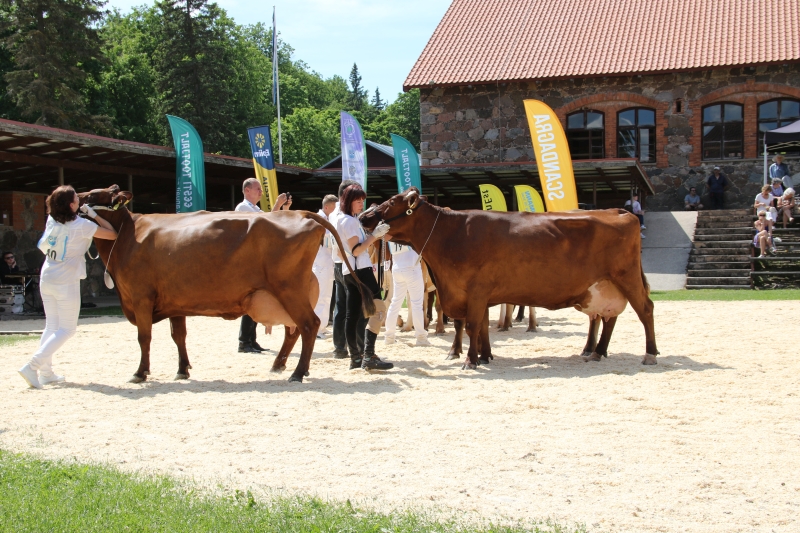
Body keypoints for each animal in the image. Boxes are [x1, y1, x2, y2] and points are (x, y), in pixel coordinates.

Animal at [78, 185, 374, 384]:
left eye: (91, 196)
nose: (69, 196)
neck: (128, 235)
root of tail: (302, 213)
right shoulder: (174, 301)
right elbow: (179, 336)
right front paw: (182, 370)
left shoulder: (140, 297)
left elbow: (144, 336)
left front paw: (140, 373)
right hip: (290, 292)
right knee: (294, 330)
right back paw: (280, 365)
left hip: (289, 289)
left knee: (309, 325)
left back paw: (297, 373)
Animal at [359, 191, 658, 369]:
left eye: (391, 202)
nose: (363, 216)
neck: (452, 234)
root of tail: (619, 211)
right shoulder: (466, 291)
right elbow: (475, 326)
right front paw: (479, 355)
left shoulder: (476, 289)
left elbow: (471, 326)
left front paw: (471, 360)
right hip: (605, 286)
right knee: (607, 316)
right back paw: (596, 351)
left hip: (627, 277)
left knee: (645, 310)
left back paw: (650, 354)